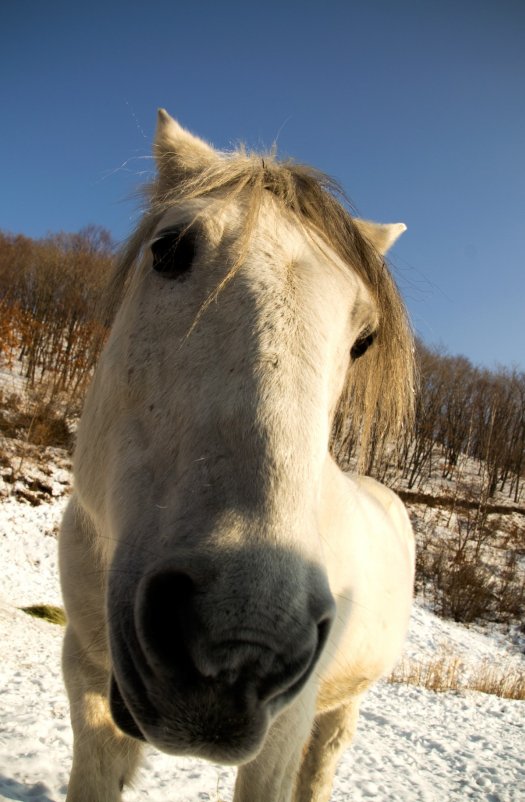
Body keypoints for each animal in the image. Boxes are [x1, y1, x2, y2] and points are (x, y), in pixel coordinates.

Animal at [59, 108, 416, 800]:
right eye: (169, 249)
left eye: (364, 338)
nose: (242, 640)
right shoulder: (86, 672)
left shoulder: (283, 732)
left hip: (340, 708)